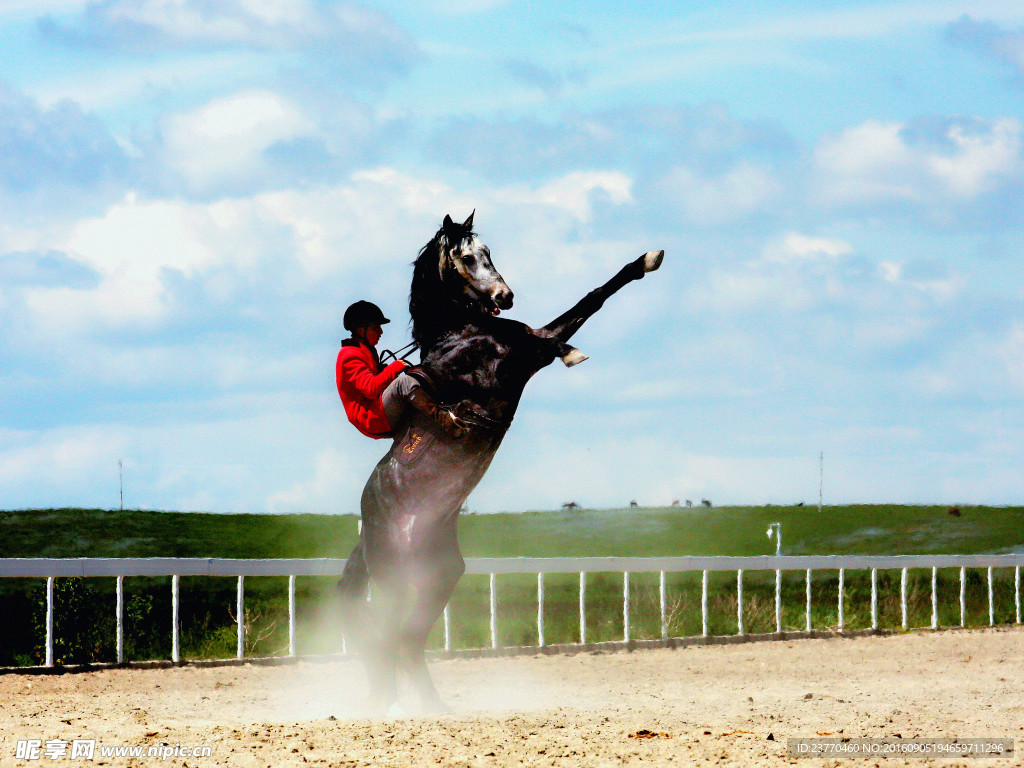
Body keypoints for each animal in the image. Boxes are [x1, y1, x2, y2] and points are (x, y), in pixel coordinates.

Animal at [339, 211, 667, 716]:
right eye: (465, 257)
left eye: (489, 251)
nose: (504, 297)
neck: (459, 335)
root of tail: (368, 526)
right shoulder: (516, 357)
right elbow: (578, 312)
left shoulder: (528, 343)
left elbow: (579, 309)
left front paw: (644, 262)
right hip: (397, 575)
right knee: (386, 635)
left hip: (439, 573)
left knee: (405, 640)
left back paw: (430, 707)